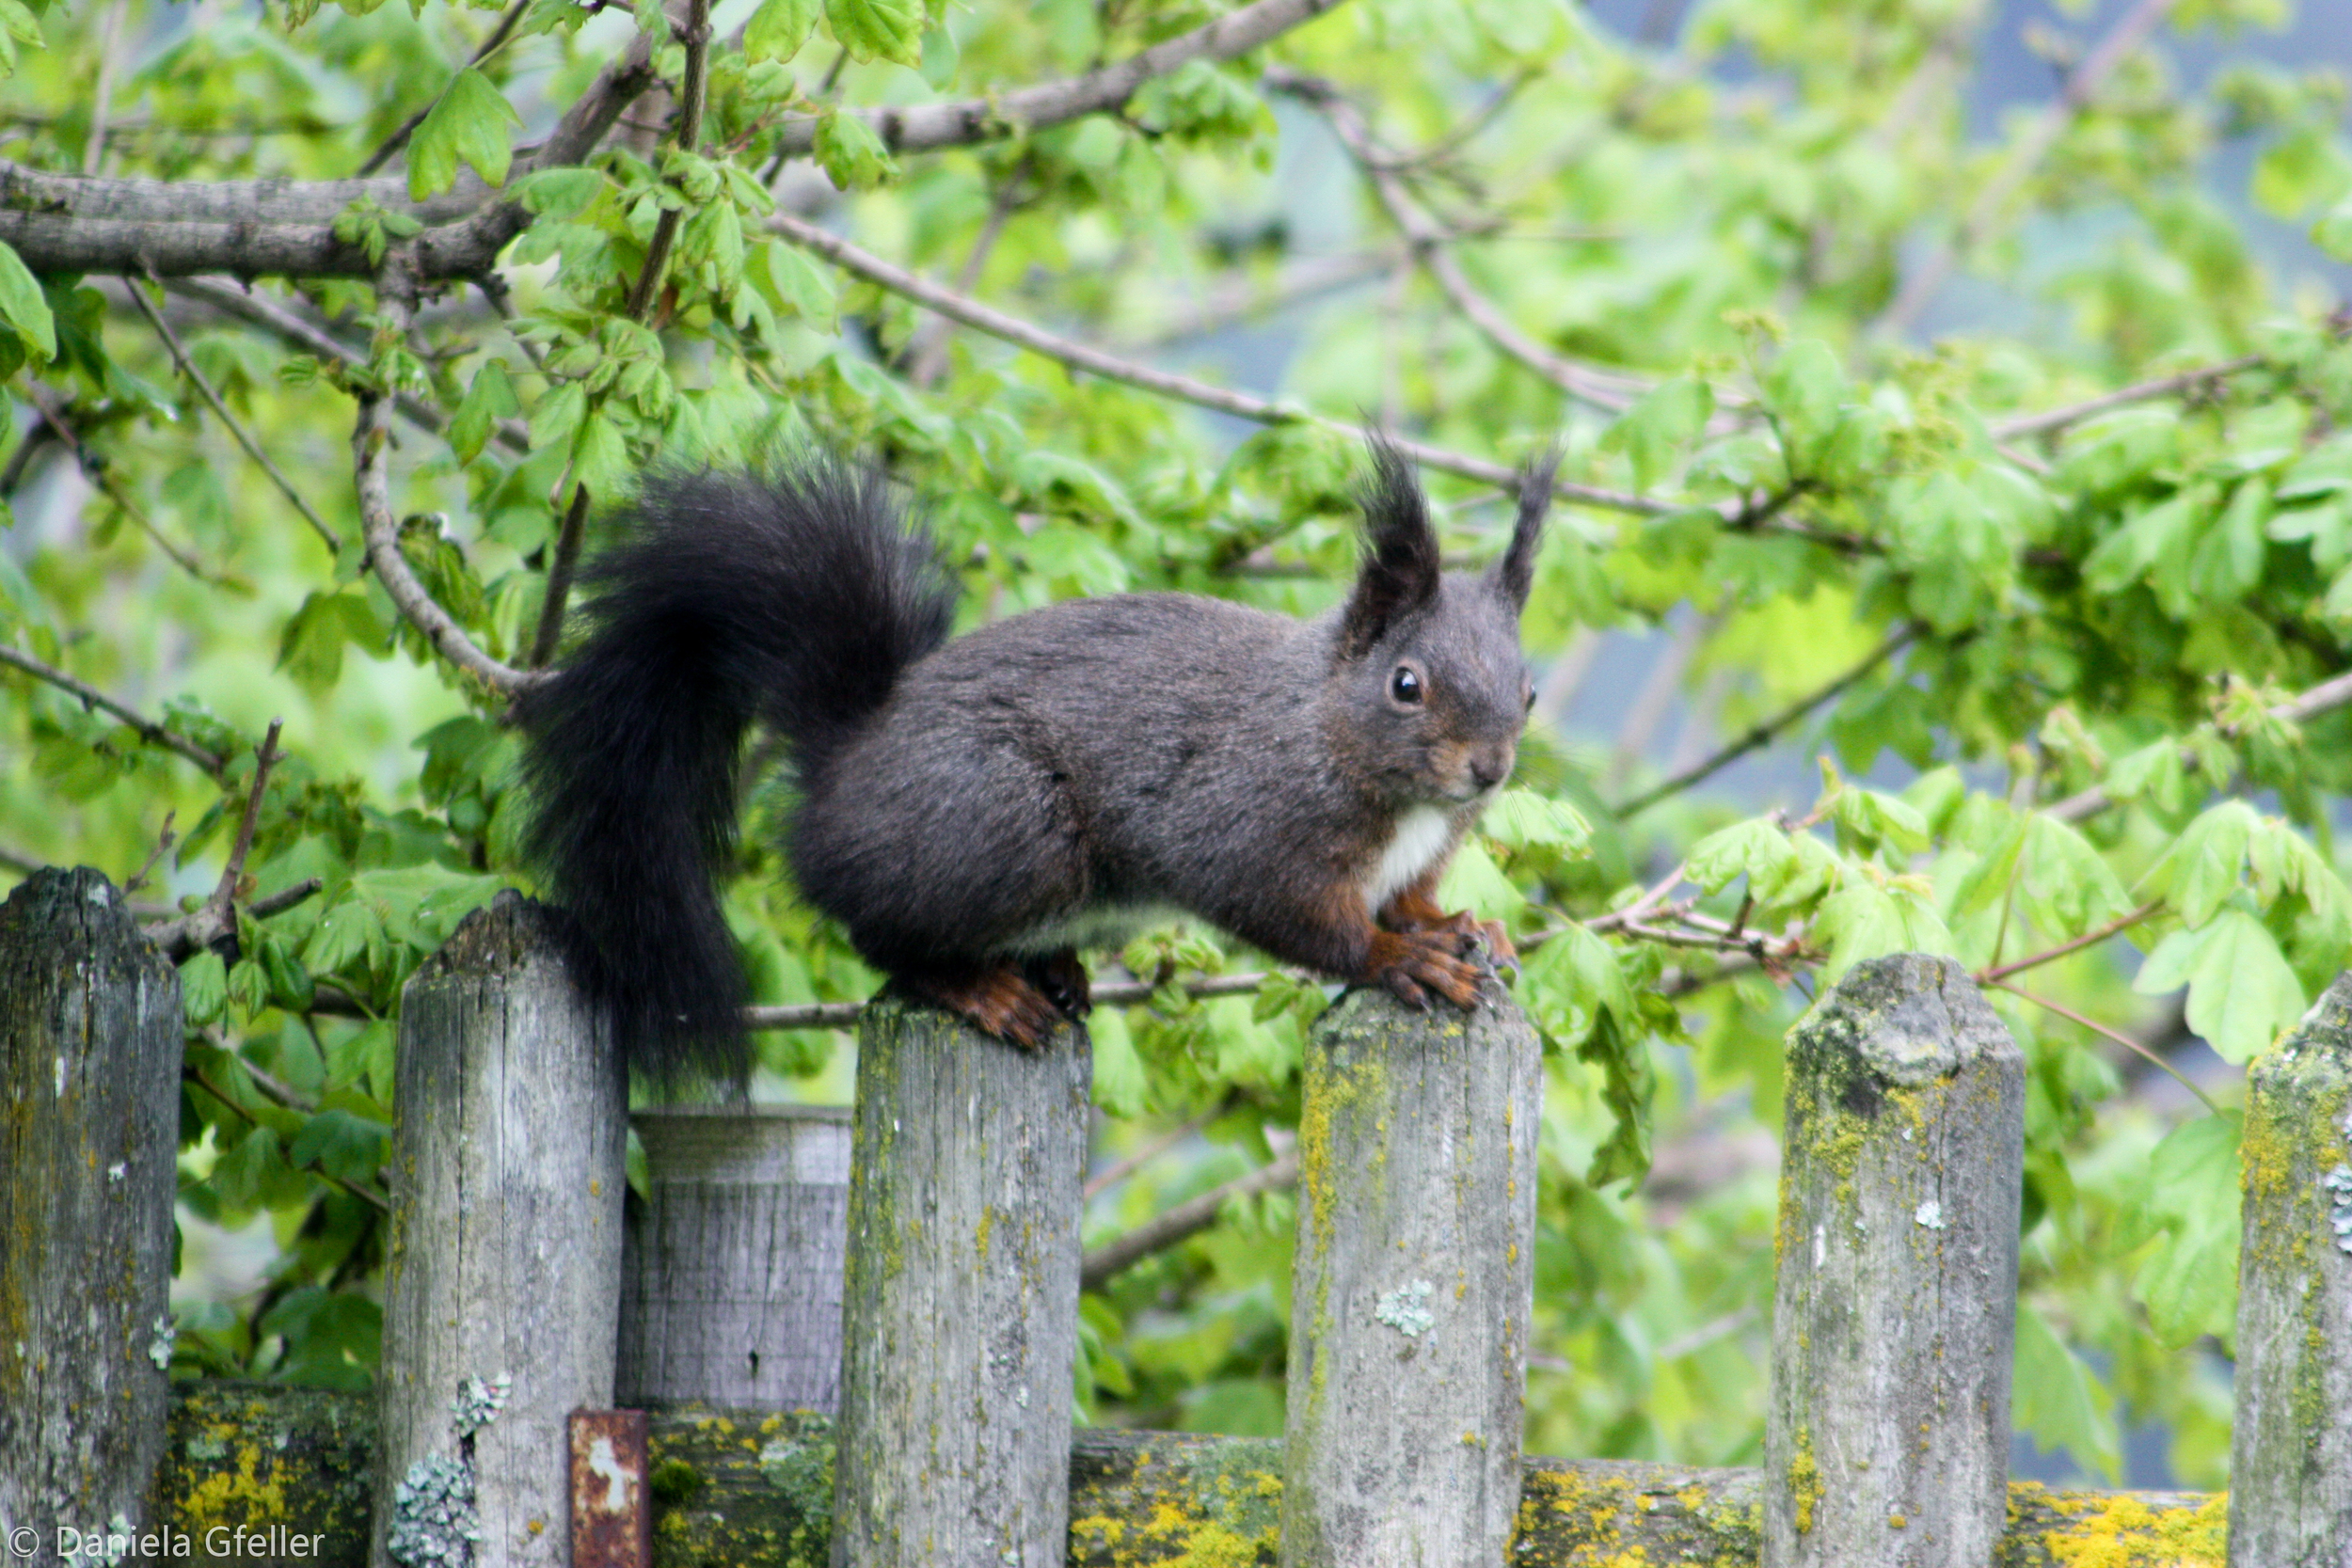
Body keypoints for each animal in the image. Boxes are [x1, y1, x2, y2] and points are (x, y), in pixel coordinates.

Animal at [510, 435, 1562, 1085]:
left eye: (1529, 689)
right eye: (1406, 684)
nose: (1488, 769)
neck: (1327, 729)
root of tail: (845, 764)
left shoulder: (1416, 849)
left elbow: (1412, 893)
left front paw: (1465, 925)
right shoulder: (1246, 820)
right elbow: (1307, 922)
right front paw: (1401, 957)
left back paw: (1054, 969)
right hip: (1007, 825)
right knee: (876, 932)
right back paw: (980, 987)